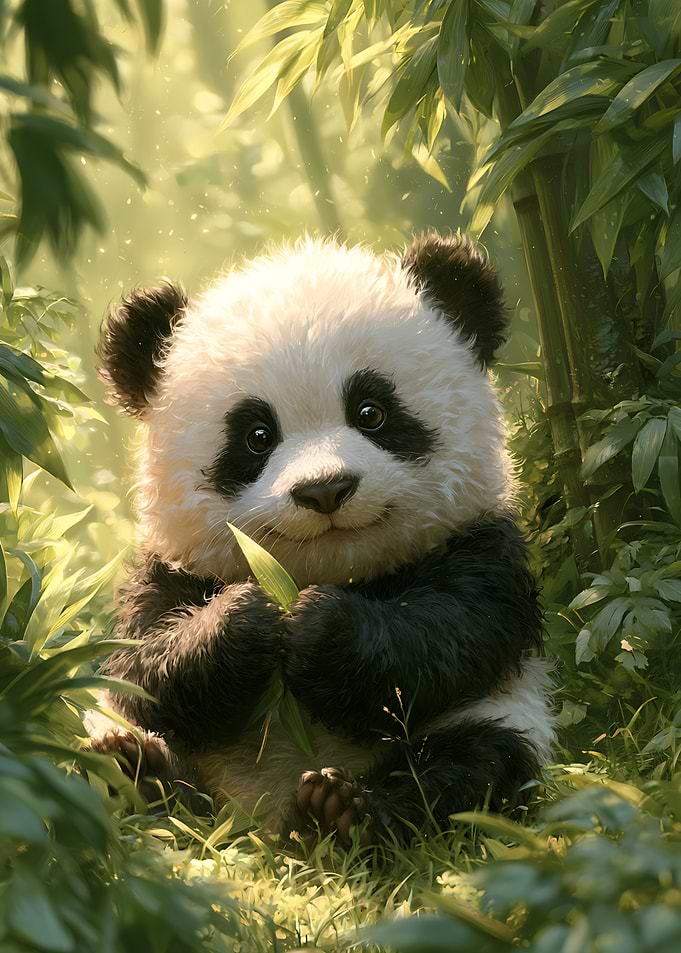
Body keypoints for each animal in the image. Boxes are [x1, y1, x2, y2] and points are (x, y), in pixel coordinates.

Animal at [89, 232, 555, 847]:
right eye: (257, 435)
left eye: (371, 411)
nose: (325, 489)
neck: (330, 569)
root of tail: (258, 820)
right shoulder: (167, 570)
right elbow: (139, 668)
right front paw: (248, 618)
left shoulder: (481, 545)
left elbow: (454, 634)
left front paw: (317, 626)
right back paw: (138, 773)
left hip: (501, 718)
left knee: (472, 765)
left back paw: (339, 811)